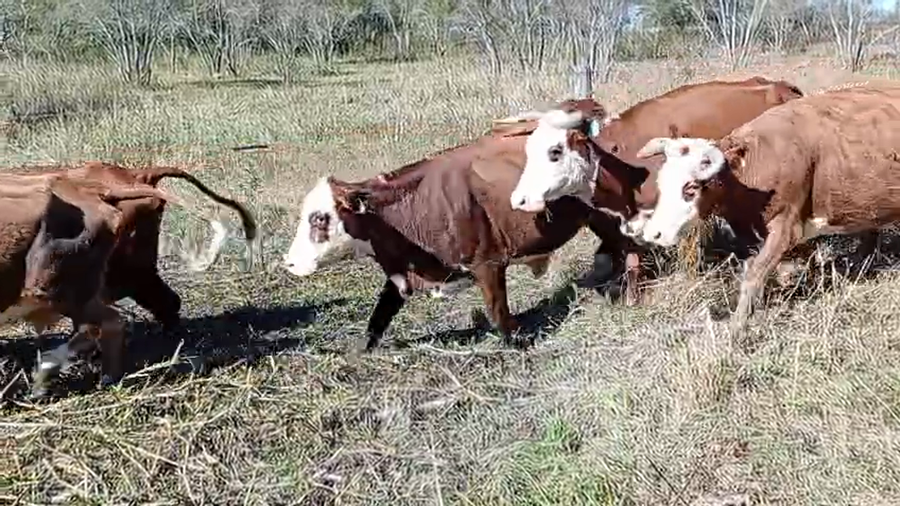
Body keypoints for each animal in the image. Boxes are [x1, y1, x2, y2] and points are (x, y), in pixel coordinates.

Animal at [281, 103, 646, 352]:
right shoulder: (402, 272)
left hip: (607, 217)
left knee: (629, 250)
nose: (289, 262)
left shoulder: (487, 263)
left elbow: (497, 311)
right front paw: (361, 350)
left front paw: (519, 341)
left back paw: (630, 292)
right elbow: (380, 314)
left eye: (319, 218)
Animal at [505, 77, 805, 303]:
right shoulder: (626, 225)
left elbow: (687, 256)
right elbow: (630, 261)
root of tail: (780, 85)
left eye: (555, 152)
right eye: (528, 150)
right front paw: (632, 299)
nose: (519, 199)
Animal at [622, 83, 900, 336]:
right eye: (661, 183)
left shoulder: (786, 227)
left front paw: (737, 328)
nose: (654, 233)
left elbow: (755, 274)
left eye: (690, 187)